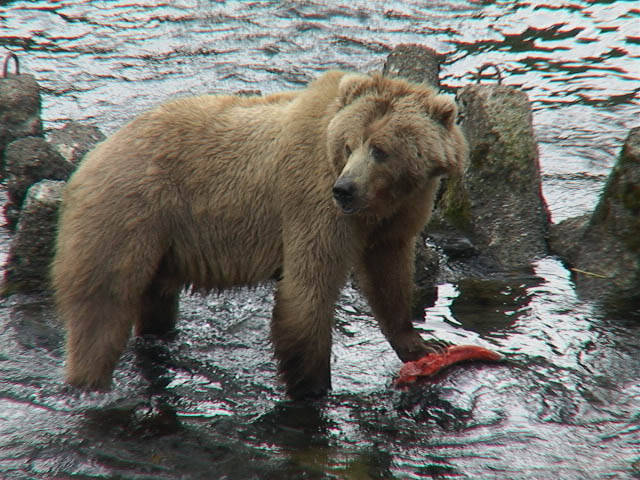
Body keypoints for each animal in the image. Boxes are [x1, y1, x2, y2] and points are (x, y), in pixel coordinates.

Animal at [52, 71, 468, 400]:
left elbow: (389, 277)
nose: (345, 189)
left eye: (380, 150)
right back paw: (87, 384)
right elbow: (308, 289)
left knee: (154, 300)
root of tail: (92, 155)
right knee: (102, 308)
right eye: (349, 144)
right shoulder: (313, 203)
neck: (381, 203)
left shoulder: (399, 216)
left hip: (160, 241)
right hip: (128, 213)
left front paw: (423, 343)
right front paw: (313, 388)